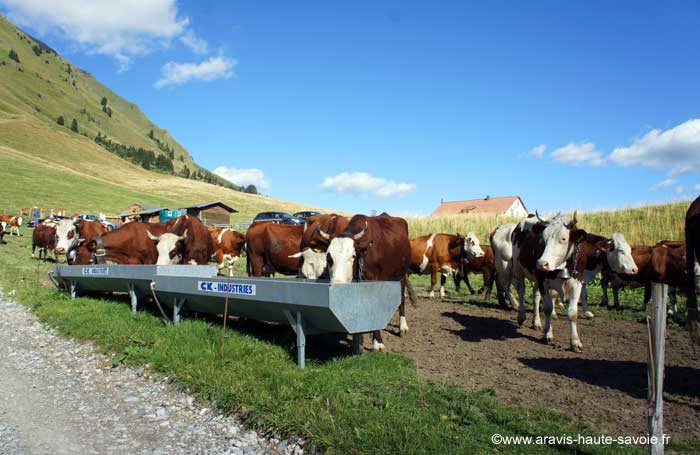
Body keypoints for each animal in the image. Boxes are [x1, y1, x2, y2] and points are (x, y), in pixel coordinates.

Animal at [320, 213, 416, 350]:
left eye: (353, 256)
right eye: (329, 257)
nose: (338, 284)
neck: (365, 255)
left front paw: (378, 341)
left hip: (401, 275)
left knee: (401, 299)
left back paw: (403, 327)